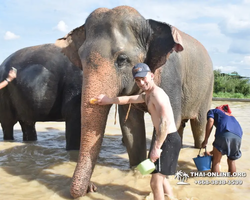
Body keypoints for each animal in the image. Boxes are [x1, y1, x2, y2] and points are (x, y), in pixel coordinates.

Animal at [55, 5, 214, 198]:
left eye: (122, 59)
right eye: (81, 59)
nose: (91, 188)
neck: (148, 24)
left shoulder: (170, 76)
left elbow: (166, 122)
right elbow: (130, 126)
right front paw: (137, 171)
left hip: (207, 88)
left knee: (198, 123)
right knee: (180, 126)